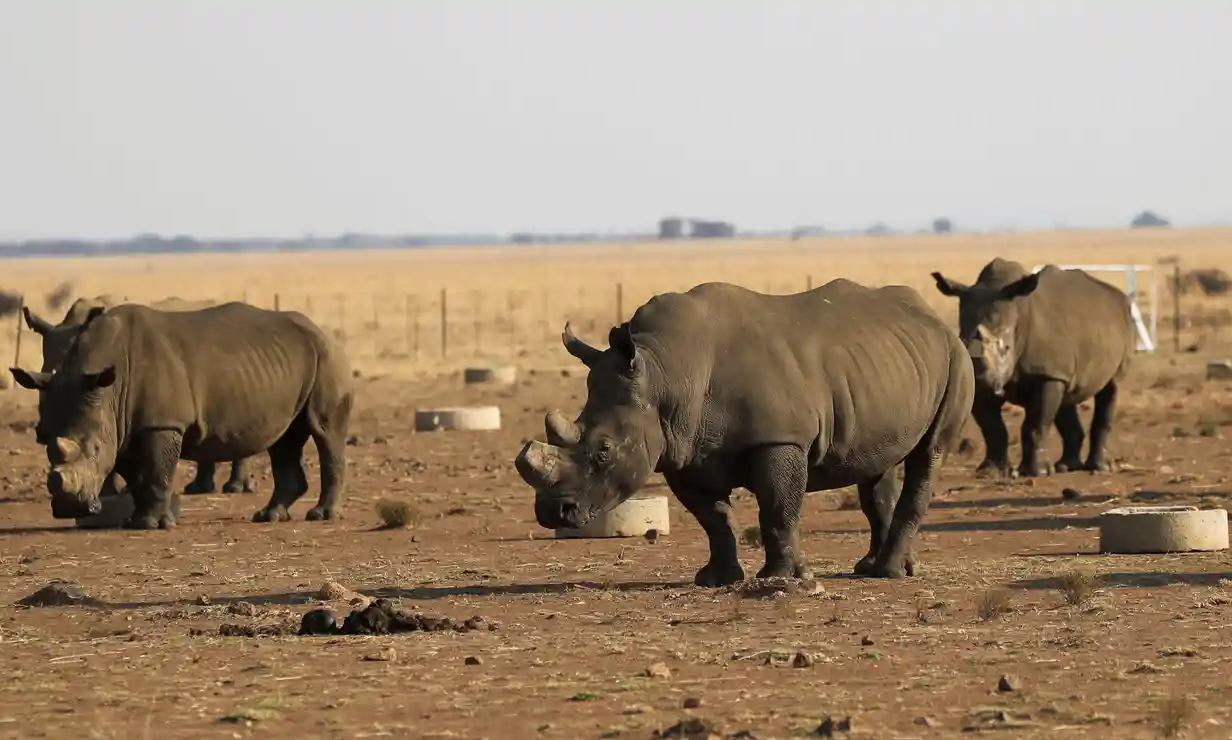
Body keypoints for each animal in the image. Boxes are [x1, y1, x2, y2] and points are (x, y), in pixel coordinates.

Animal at [514, 281, 975, 583]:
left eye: (604, 450)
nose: (552, 513)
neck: (664, 372)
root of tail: (935, 319)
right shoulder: (683, 450)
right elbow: (714, 519)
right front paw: (716, 579)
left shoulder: (778, 438)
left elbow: (776, 508)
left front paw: (780, 579)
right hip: (885, 369)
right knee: (876, 466)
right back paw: (878, 568)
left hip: (958, 358)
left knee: (929, 454)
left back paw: (889, 573)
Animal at [931, 258, 1135, 478]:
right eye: (962, 344)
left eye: (1006, 348)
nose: (982, 381)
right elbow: (992, 428)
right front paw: (990, 472)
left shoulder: (1045, 374)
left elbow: (1036, 424)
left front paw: (1038, 472)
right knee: (1067, 395)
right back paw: (1066, 467)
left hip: (1124, 323)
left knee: (1110, 388)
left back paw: (1099, 468)